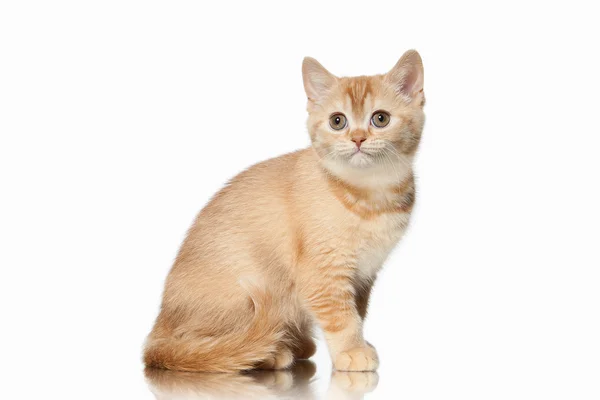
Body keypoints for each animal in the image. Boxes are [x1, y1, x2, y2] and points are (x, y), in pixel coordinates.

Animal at [144, 49, 426, 372]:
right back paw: (269, 352)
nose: (357, 138)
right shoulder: (322, 271)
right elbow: (341, 316)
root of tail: (157, 329)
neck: (370, 195)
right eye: (337, 121)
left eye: (380, 118)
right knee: (203, 345)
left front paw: (357, 345)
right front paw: (352, 350)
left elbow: (358, 311)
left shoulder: (365, 275)